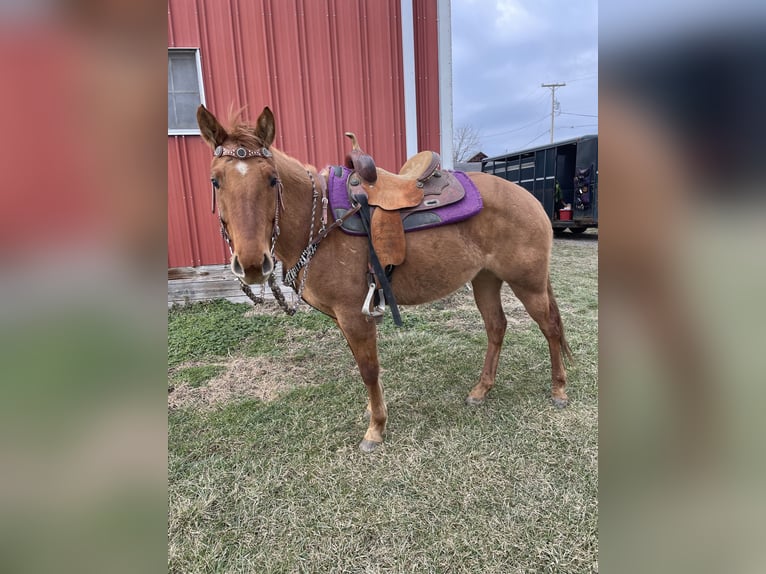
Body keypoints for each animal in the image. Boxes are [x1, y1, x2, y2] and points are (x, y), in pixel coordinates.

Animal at [196, 104, 573, 452]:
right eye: (215, 181)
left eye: (272, 179)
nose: (252, 264)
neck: (321, 222)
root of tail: (528, 198)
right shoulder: (344, 318)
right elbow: (363, 366)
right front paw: (372, 413)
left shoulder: (354, 315)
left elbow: (368, 369)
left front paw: (375, 429)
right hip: (485, 279)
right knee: (497, 327)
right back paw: (481, 390)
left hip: (528, 282)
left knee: (551, 327)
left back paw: (558, 389)